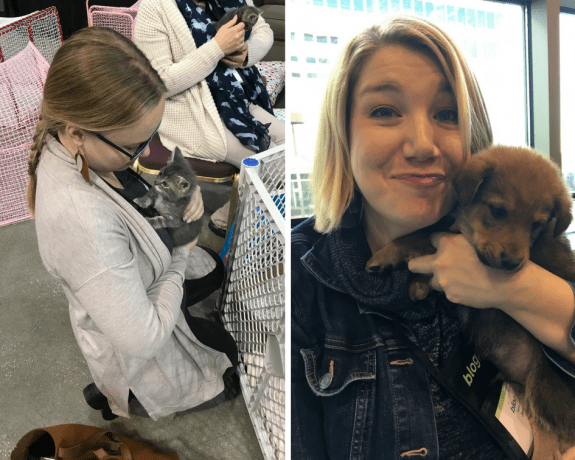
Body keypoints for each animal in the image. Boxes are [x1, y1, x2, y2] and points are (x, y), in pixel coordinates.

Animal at [366, 146, 575, 440]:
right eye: (497, 210)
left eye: (537, 224)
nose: (512, 263)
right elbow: (428, 232)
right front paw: (418, 283)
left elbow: (422, 234)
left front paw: (386, 255)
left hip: (547, 390)